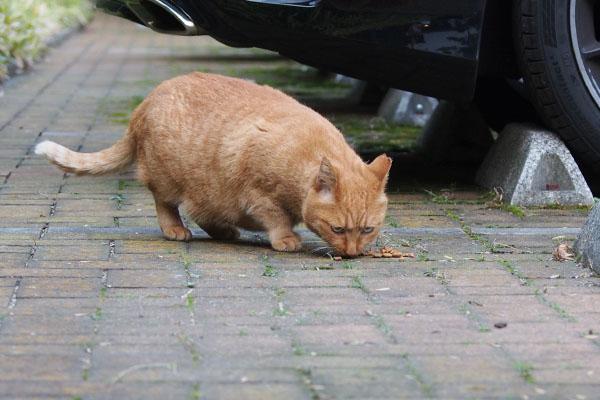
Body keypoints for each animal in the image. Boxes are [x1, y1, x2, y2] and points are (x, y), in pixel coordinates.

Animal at [34, 72, 390, 256]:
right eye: (338, 229)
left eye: (368, 229)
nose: (353, 253)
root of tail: (146, 101)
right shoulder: (258, 195)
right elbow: (276, 218)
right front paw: (286, 237)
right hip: (171, 179)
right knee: (168, 204)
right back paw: (176, 229)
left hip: (208, 189)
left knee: (202, 212)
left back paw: (224, 231)